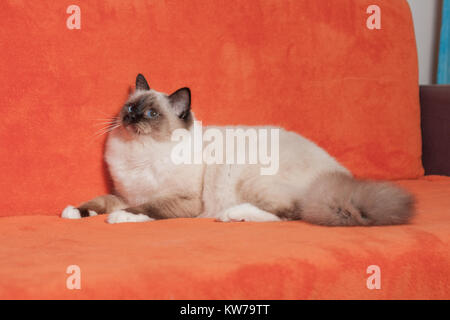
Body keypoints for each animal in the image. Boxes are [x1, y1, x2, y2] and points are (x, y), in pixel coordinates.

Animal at [60, 74, 414, 226]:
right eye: (131, 108)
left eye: (150, 114)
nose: (130, 118)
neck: (142, 152)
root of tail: (338, 178)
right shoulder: (126, 193)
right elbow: (98, 202)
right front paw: (74, 212)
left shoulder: (180, 201)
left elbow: (144, 209)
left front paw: (120, 218)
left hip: (249, 178)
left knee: (289, 213)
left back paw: (233, 215)